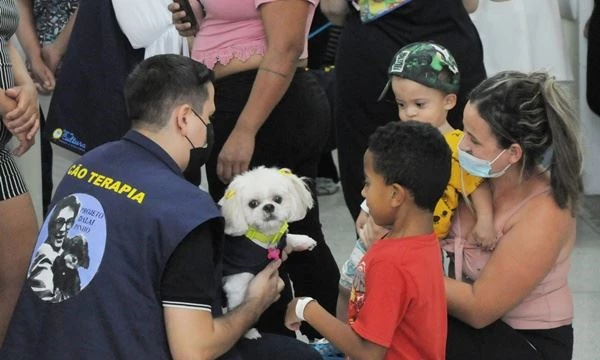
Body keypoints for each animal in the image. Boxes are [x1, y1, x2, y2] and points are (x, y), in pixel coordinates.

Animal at [219, 167, 318, 338]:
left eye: (277, 199)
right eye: (253, 204)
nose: (269, 207)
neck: (263, 238)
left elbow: (288, 238)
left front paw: (303, 240)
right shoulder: (237, 284)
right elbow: (239, 306)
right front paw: (248, 332)